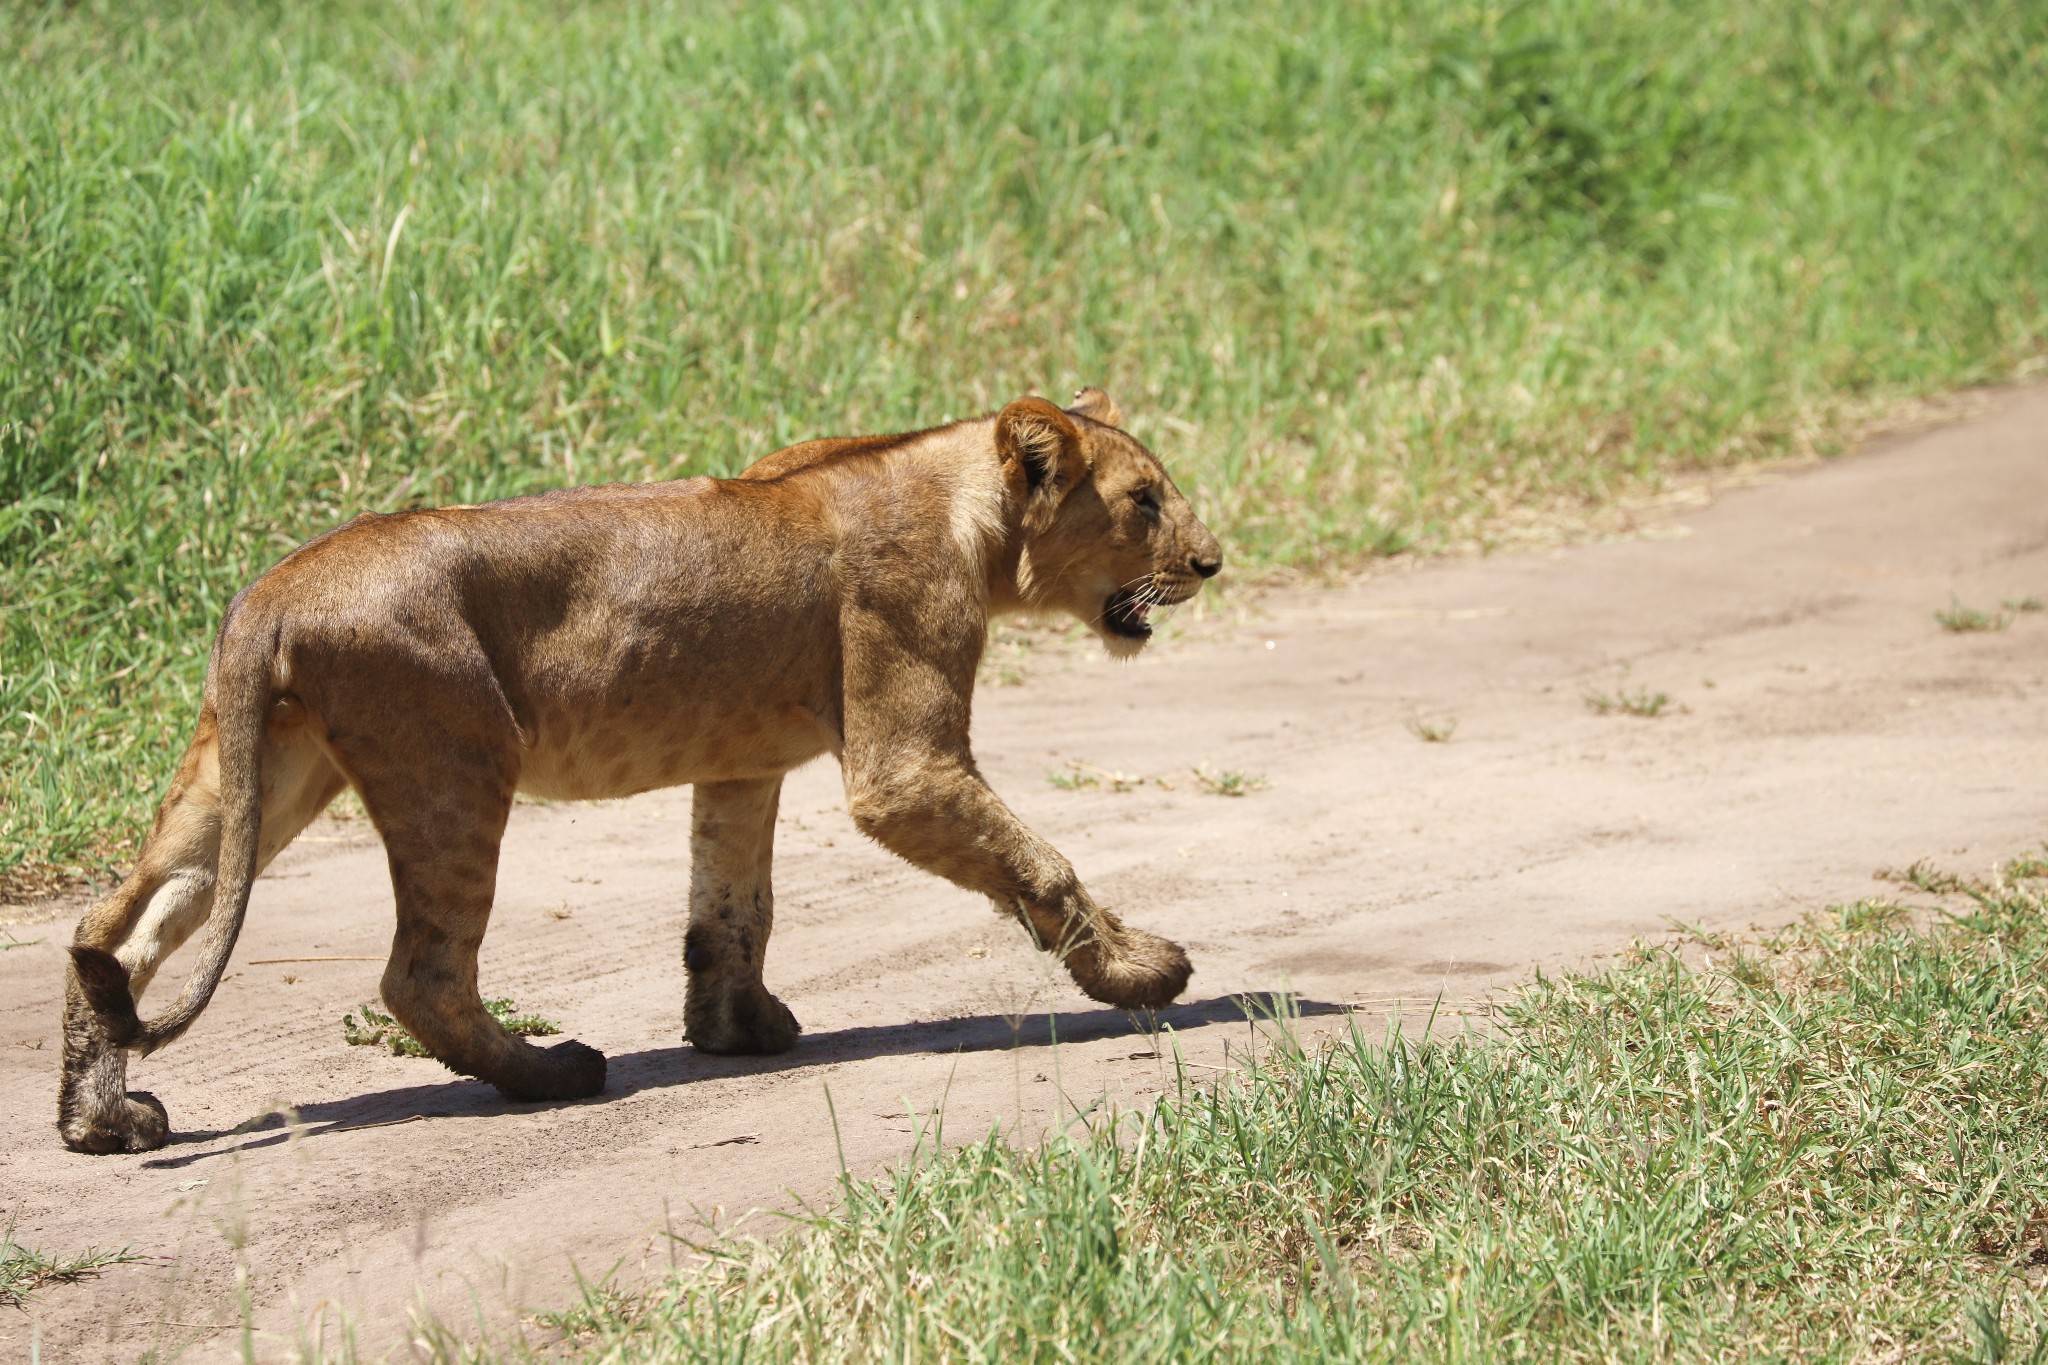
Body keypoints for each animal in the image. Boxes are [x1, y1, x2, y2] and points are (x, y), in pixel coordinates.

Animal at [59, 386, 1212, 1154]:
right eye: (1144, 501)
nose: (1209, 561)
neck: (968, 509)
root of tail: (275, 589)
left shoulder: (744, 762)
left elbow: (733, 908)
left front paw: (736, 1030)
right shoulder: (904, 765)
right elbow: (1040, 861)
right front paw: (1139, 970)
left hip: (258, 772)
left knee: (117, 927)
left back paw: (99, 1119)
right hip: (455, 762)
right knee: (420, 973)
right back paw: (551, 1073)